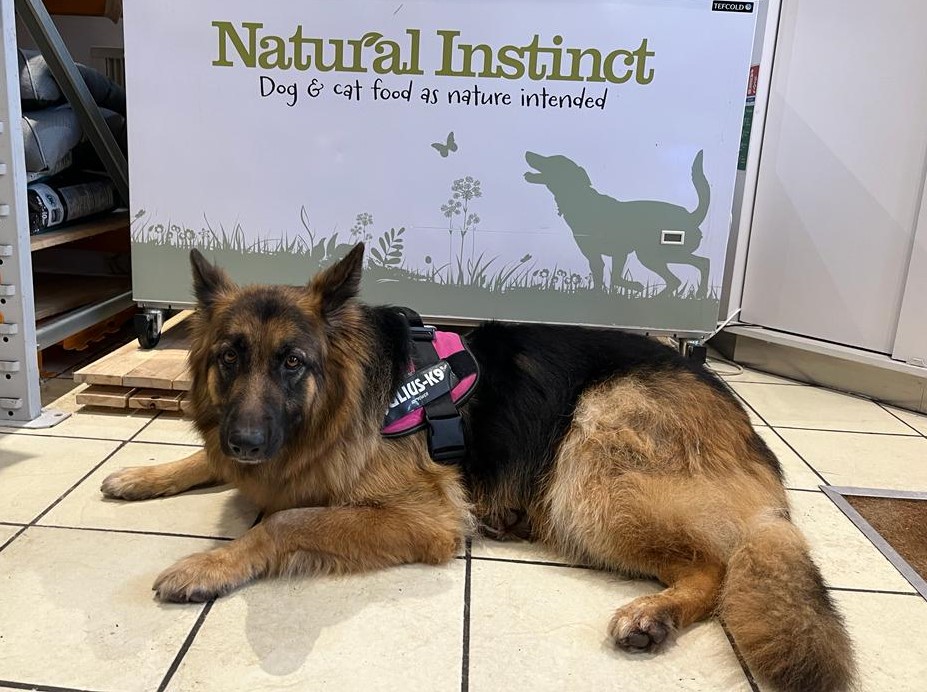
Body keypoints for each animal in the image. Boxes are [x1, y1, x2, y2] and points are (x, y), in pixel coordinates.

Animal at [101, 245, 856, 692]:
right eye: (230, 357)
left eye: (292, 363)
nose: (247, 441)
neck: (344, 398)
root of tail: (740, 419)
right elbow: (200, 459)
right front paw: (141, 476)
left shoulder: (421, 516)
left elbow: (281, 523)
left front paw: (208, 564)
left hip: (589, 469)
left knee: (718, 567)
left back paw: (653, 615)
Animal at [524, 150, 716, 296]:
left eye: (551, 161)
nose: (528, 153)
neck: (580, 198)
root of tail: (690, 216)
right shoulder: (595, 255)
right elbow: (601, 277)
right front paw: (597, 295)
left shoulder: (619, 252)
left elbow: (615, 277)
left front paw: (635, 287)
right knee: (684, 274)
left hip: (654, 254)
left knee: (696, 267)